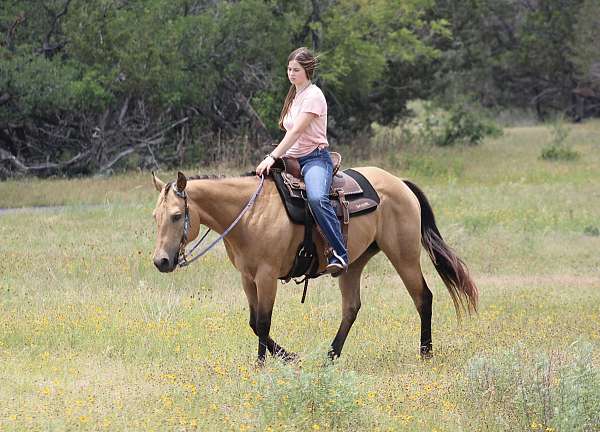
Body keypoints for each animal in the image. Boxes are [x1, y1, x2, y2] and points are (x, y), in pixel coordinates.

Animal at [151, 167, 478, 362]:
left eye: (177, 216)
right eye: (155, 216)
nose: (161, 261)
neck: (250, 214)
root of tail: (399, 183)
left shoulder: (267, 276)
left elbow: (263, 322)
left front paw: (262, 364)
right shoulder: (247, 278)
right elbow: (254, 322)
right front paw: (289, 357)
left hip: (404, 255)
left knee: (423, 297)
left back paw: (425, 353)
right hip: (353, 264)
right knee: (351, 308)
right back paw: (330, 357)